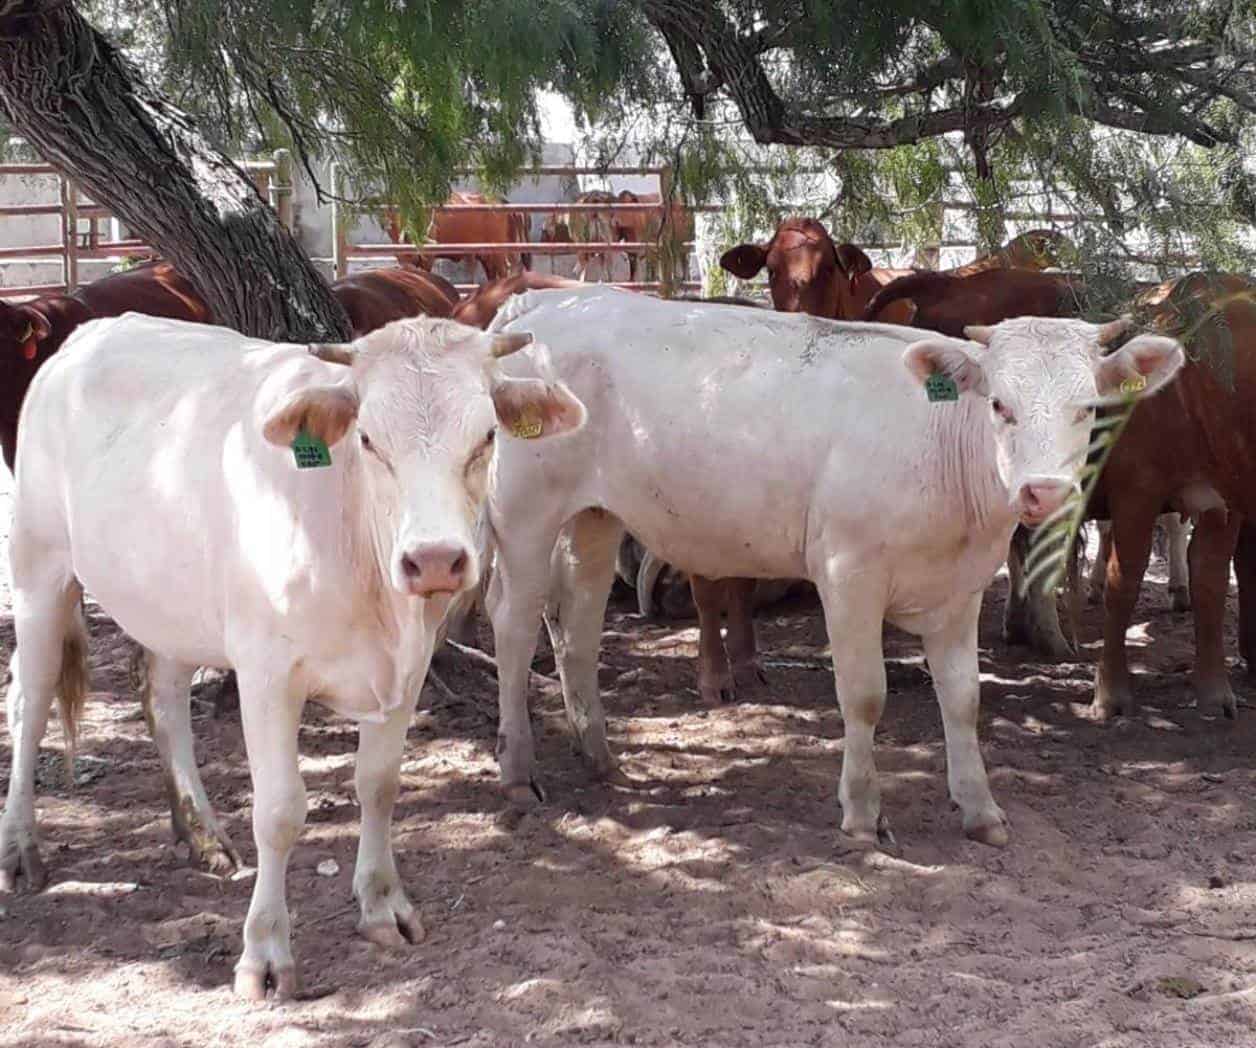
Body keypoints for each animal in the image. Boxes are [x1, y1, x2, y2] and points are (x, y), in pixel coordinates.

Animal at [0, 312, 585, 995]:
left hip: (171, 601)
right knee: (30, 697)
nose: (436, 560)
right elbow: (279, 811)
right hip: (39, 567)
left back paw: (200, 833)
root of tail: (92, 331)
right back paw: (21, 849)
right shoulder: (266, 674)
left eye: (487, 435)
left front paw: (383, 906)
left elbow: (378, 783)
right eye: (368, 440)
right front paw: (264, 954)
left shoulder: (408, 669)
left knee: (163, 698)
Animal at [479, 286, 1185, 849]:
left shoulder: (962, 590)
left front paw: (980, 809)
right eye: (999, 406)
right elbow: (865, 694)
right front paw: (863, 814)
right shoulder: (849, 575)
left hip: (595, 517)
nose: (1044, 492)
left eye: (1088, 408)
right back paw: (517, 774)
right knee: (512, 627)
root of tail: (546, 303)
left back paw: (599, 755)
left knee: (577, 625)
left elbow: (963, 698)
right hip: (523, 512)